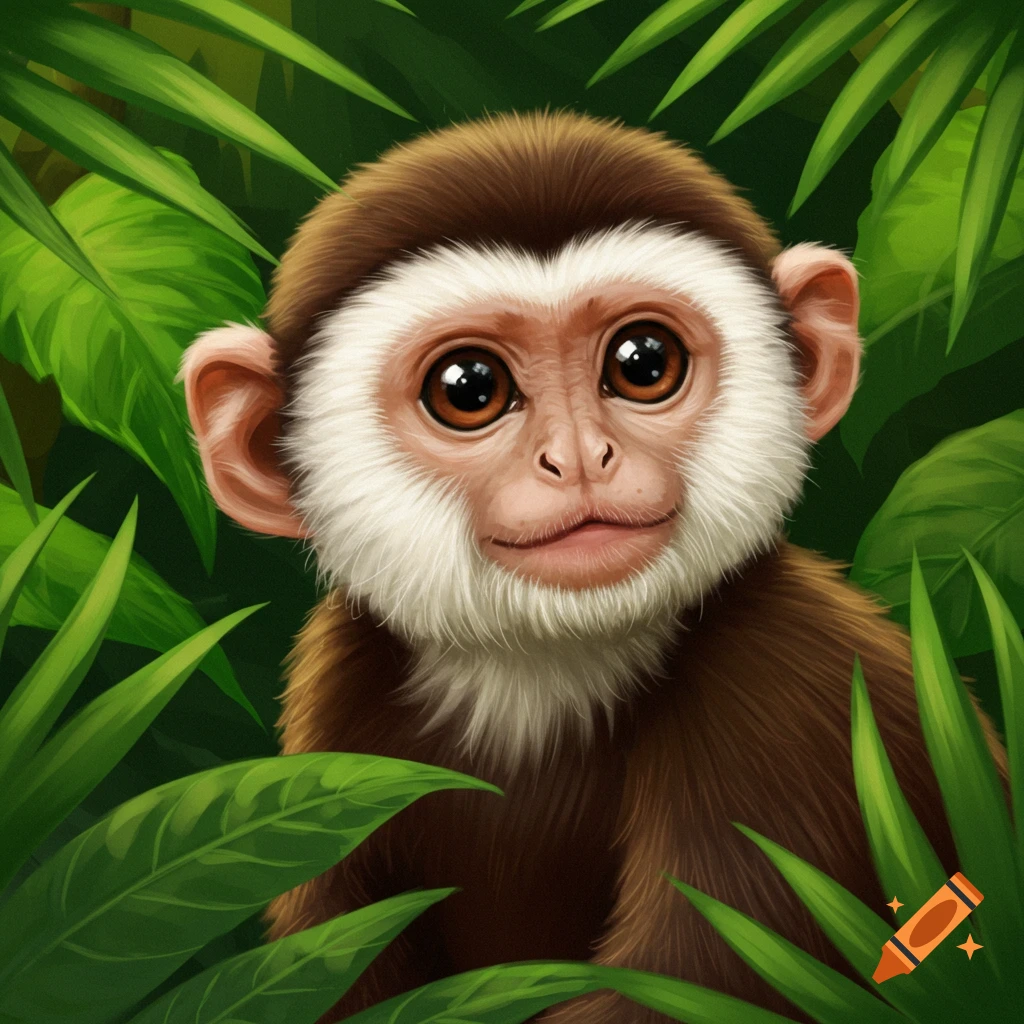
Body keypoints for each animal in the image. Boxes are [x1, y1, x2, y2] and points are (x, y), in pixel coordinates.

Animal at [180, 110, 1006, 1023]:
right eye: (468, 388)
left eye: (643, 362)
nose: (578, 457)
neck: (543, 680)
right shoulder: (335, 702)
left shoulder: (791, 704)